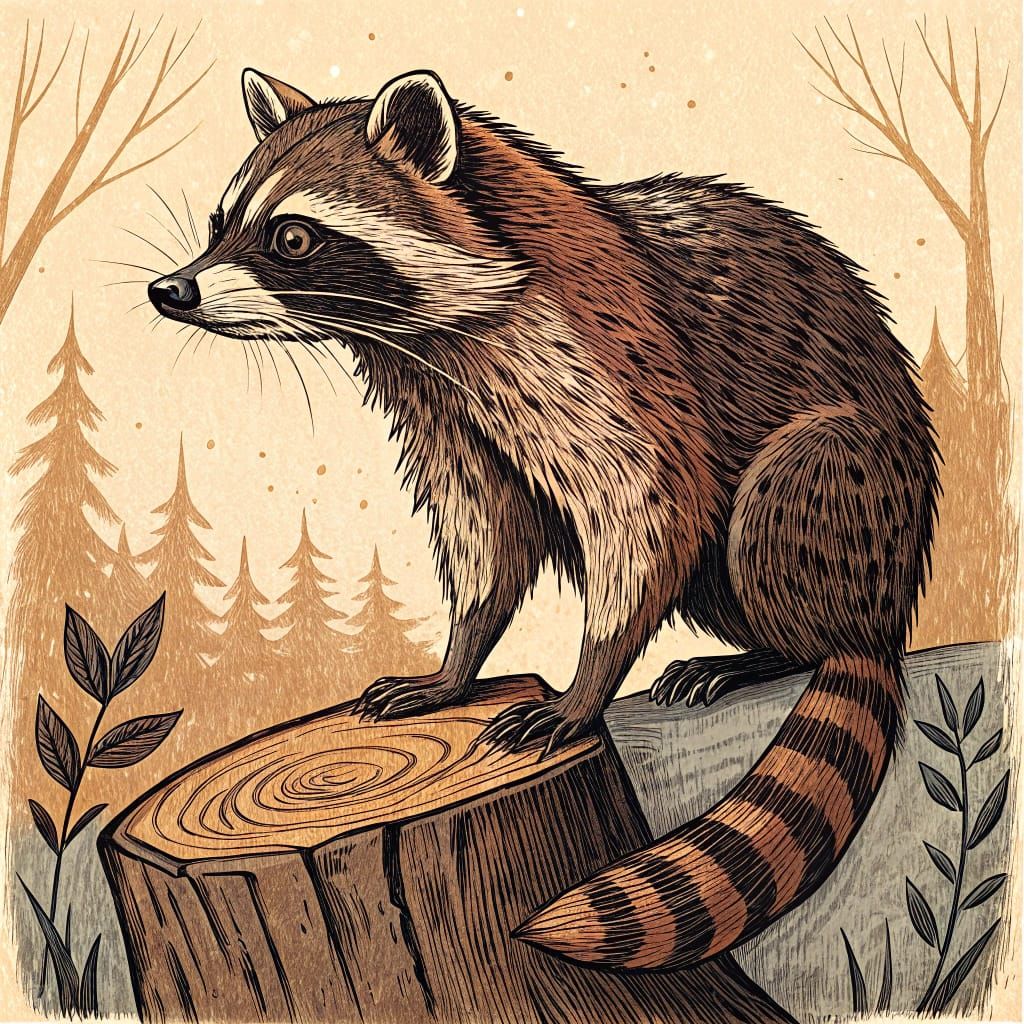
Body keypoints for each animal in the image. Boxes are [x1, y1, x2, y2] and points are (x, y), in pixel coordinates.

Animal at [148, 69, 939, 971]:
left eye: (291, 238)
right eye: (220, 223)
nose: (170, 290)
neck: (431, 333)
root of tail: (884, 611)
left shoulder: (605, 358)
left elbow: (652, 506)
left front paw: (587, 681)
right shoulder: (447, 407)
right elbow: (486, 531)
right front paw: (458, 660)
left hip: (845, 491)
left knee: (779, 491)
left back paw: (784, 648)